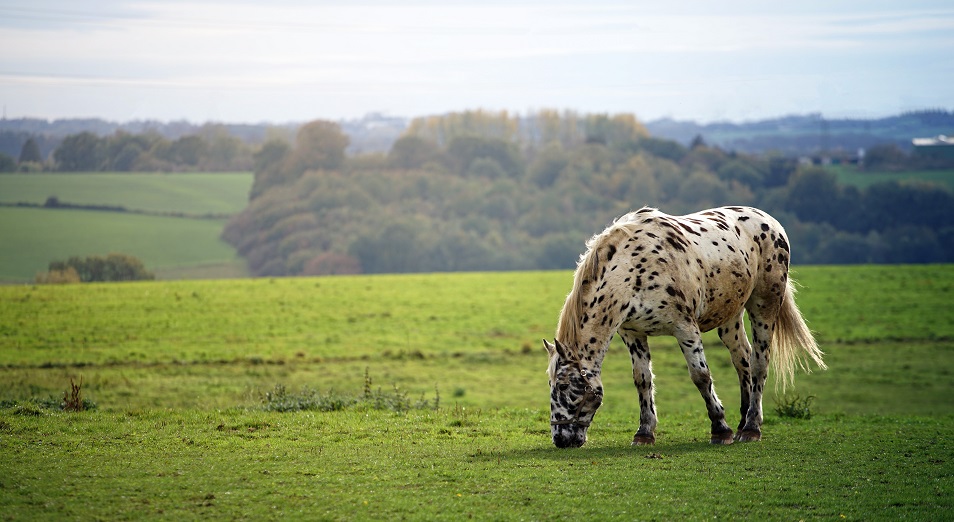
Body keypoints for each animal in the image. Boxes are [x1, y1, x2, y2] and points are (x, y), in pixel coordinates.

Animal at [544, 205, 824, 444]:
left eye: (564, 385)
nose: (560, 439)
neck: (633, 270)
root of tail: (772, 222)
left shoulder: (685, 327)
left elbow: (701, 376)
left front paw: (720, 429)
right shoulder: (632, 333)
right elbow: (642, 379)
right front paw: (644, 432)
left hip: (764, 306)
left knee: (759, 363)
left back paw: (752, 428)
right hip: (730, 317)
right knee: (742, 360)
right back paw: (743, 422)